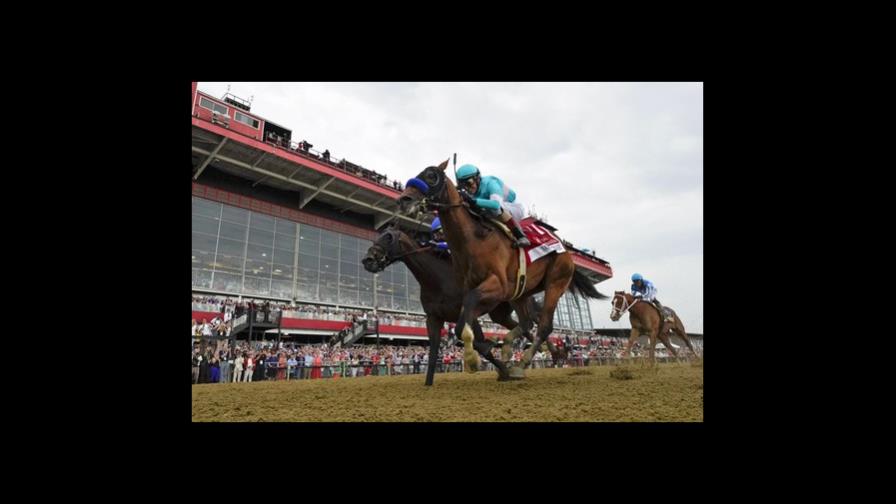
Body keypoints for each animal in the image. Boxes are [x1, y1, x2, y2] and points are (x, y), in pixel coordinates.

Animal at [360, 224, 536, 382]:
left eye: (388, 237)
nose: (367, 260)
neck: (439, 279)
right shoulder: (433, 318)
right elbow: (433, 352)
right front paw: (428, 384)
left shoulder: (469, 313)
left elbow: (477, 343)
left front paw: (502, 367)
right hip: (499, 314)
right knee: (523, 327)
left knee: (530, 324)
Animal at [396, 160, 604, 378]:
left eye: (432, 176)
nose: (403, 200)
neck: (474, 239)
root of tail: (566, 251)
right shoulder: (469, 289)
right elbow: (464, 321)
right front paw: (484, 350)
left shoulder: (497, 285)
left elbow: (465, 320)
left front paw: (472, 357)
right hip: (520, 293)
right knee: (527, 323)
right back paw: (516, 351)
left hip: (555, 283)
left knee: (544, 326)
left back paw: (524, 362)